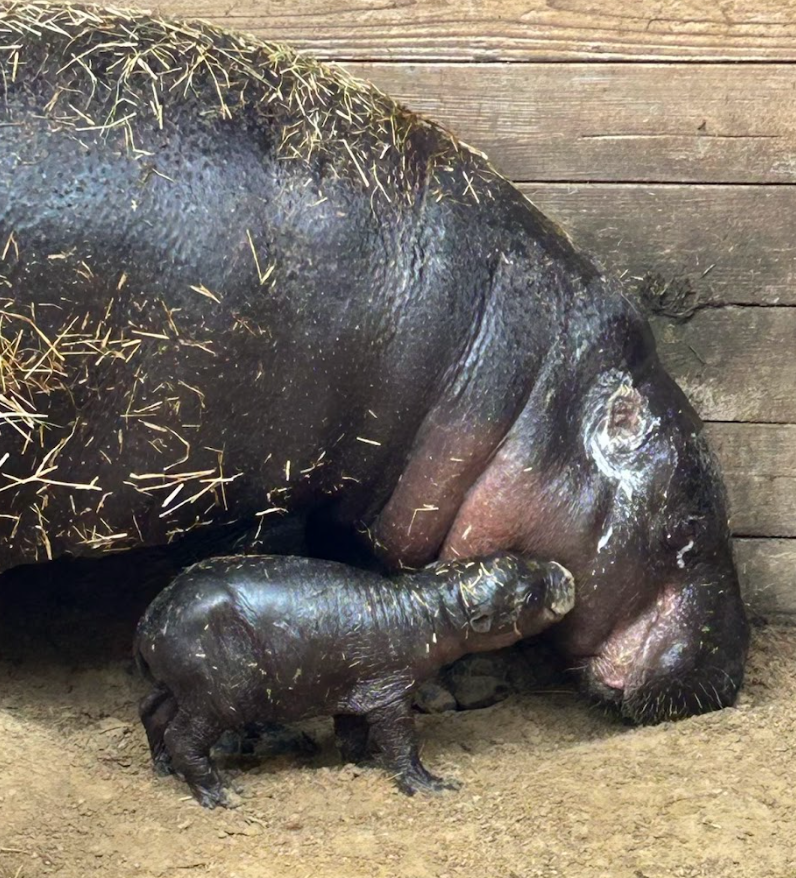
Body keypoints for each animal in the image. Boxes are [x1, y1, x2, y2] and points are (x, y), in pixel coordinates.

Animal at [134, 552, 574, 806]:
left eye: (520, 555)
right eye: (528, 592)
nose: (566, 573)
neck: (425, 610)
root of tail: (149, 618)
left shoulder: (354, 689)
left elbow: (351, 735)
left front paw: (363, 762)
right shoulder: (390, 692)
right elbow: (403, 743)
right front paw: (432, 785)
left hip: (178, 687)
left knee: (152, 712)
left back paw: (164, 768)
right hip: (219, 696)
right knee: (182, 736)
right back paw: (222, 794)